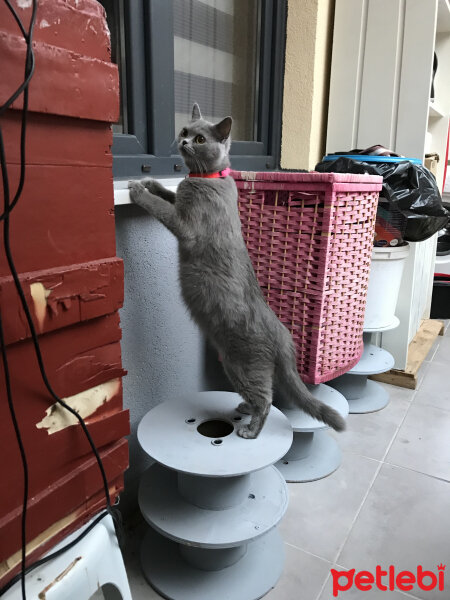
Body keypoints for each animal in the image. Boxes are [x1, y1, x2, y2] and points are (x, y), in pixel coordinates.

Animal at [128, 103, 346, 438]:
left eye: (200, 139)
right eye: (184, 131)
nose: (184, 141)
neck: (207, 178)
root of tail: (284, 338)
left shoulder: (187, 227)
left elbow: (162, 207)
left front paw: (139, 190)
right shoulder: (181, 202)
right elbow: (169, 195)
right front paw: (153, 183)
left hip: (243, 366)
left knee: (266, 399)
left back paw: (251, 430)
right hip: (233, 365)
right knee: (257, 398)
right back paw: (244, 408)